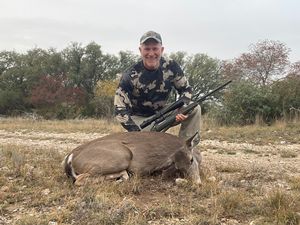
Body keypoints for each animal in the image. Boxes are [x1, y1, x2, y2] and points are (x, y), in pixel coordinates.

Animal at [63, 131, 202, 185]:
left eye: (191, 160)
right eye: (178, 166)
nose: (198, 183)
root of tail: (71, 156)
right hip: (123, 155)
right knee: (79, 180)